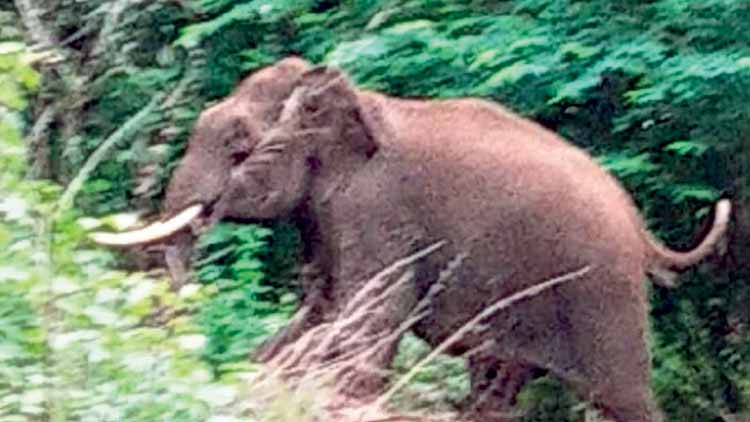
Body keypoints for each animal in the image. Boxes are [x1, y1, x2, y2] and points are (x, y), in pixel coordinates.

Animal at [92, 58, 731, 422]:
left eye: (242, 147)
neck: (358, 98)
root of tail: (640, 226)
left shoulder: (376, 208)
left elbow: (371, 312)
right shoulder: (331, 216)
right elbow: (323, 309)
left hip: (602, 291)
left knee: (625, 398)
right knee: (497, 382)